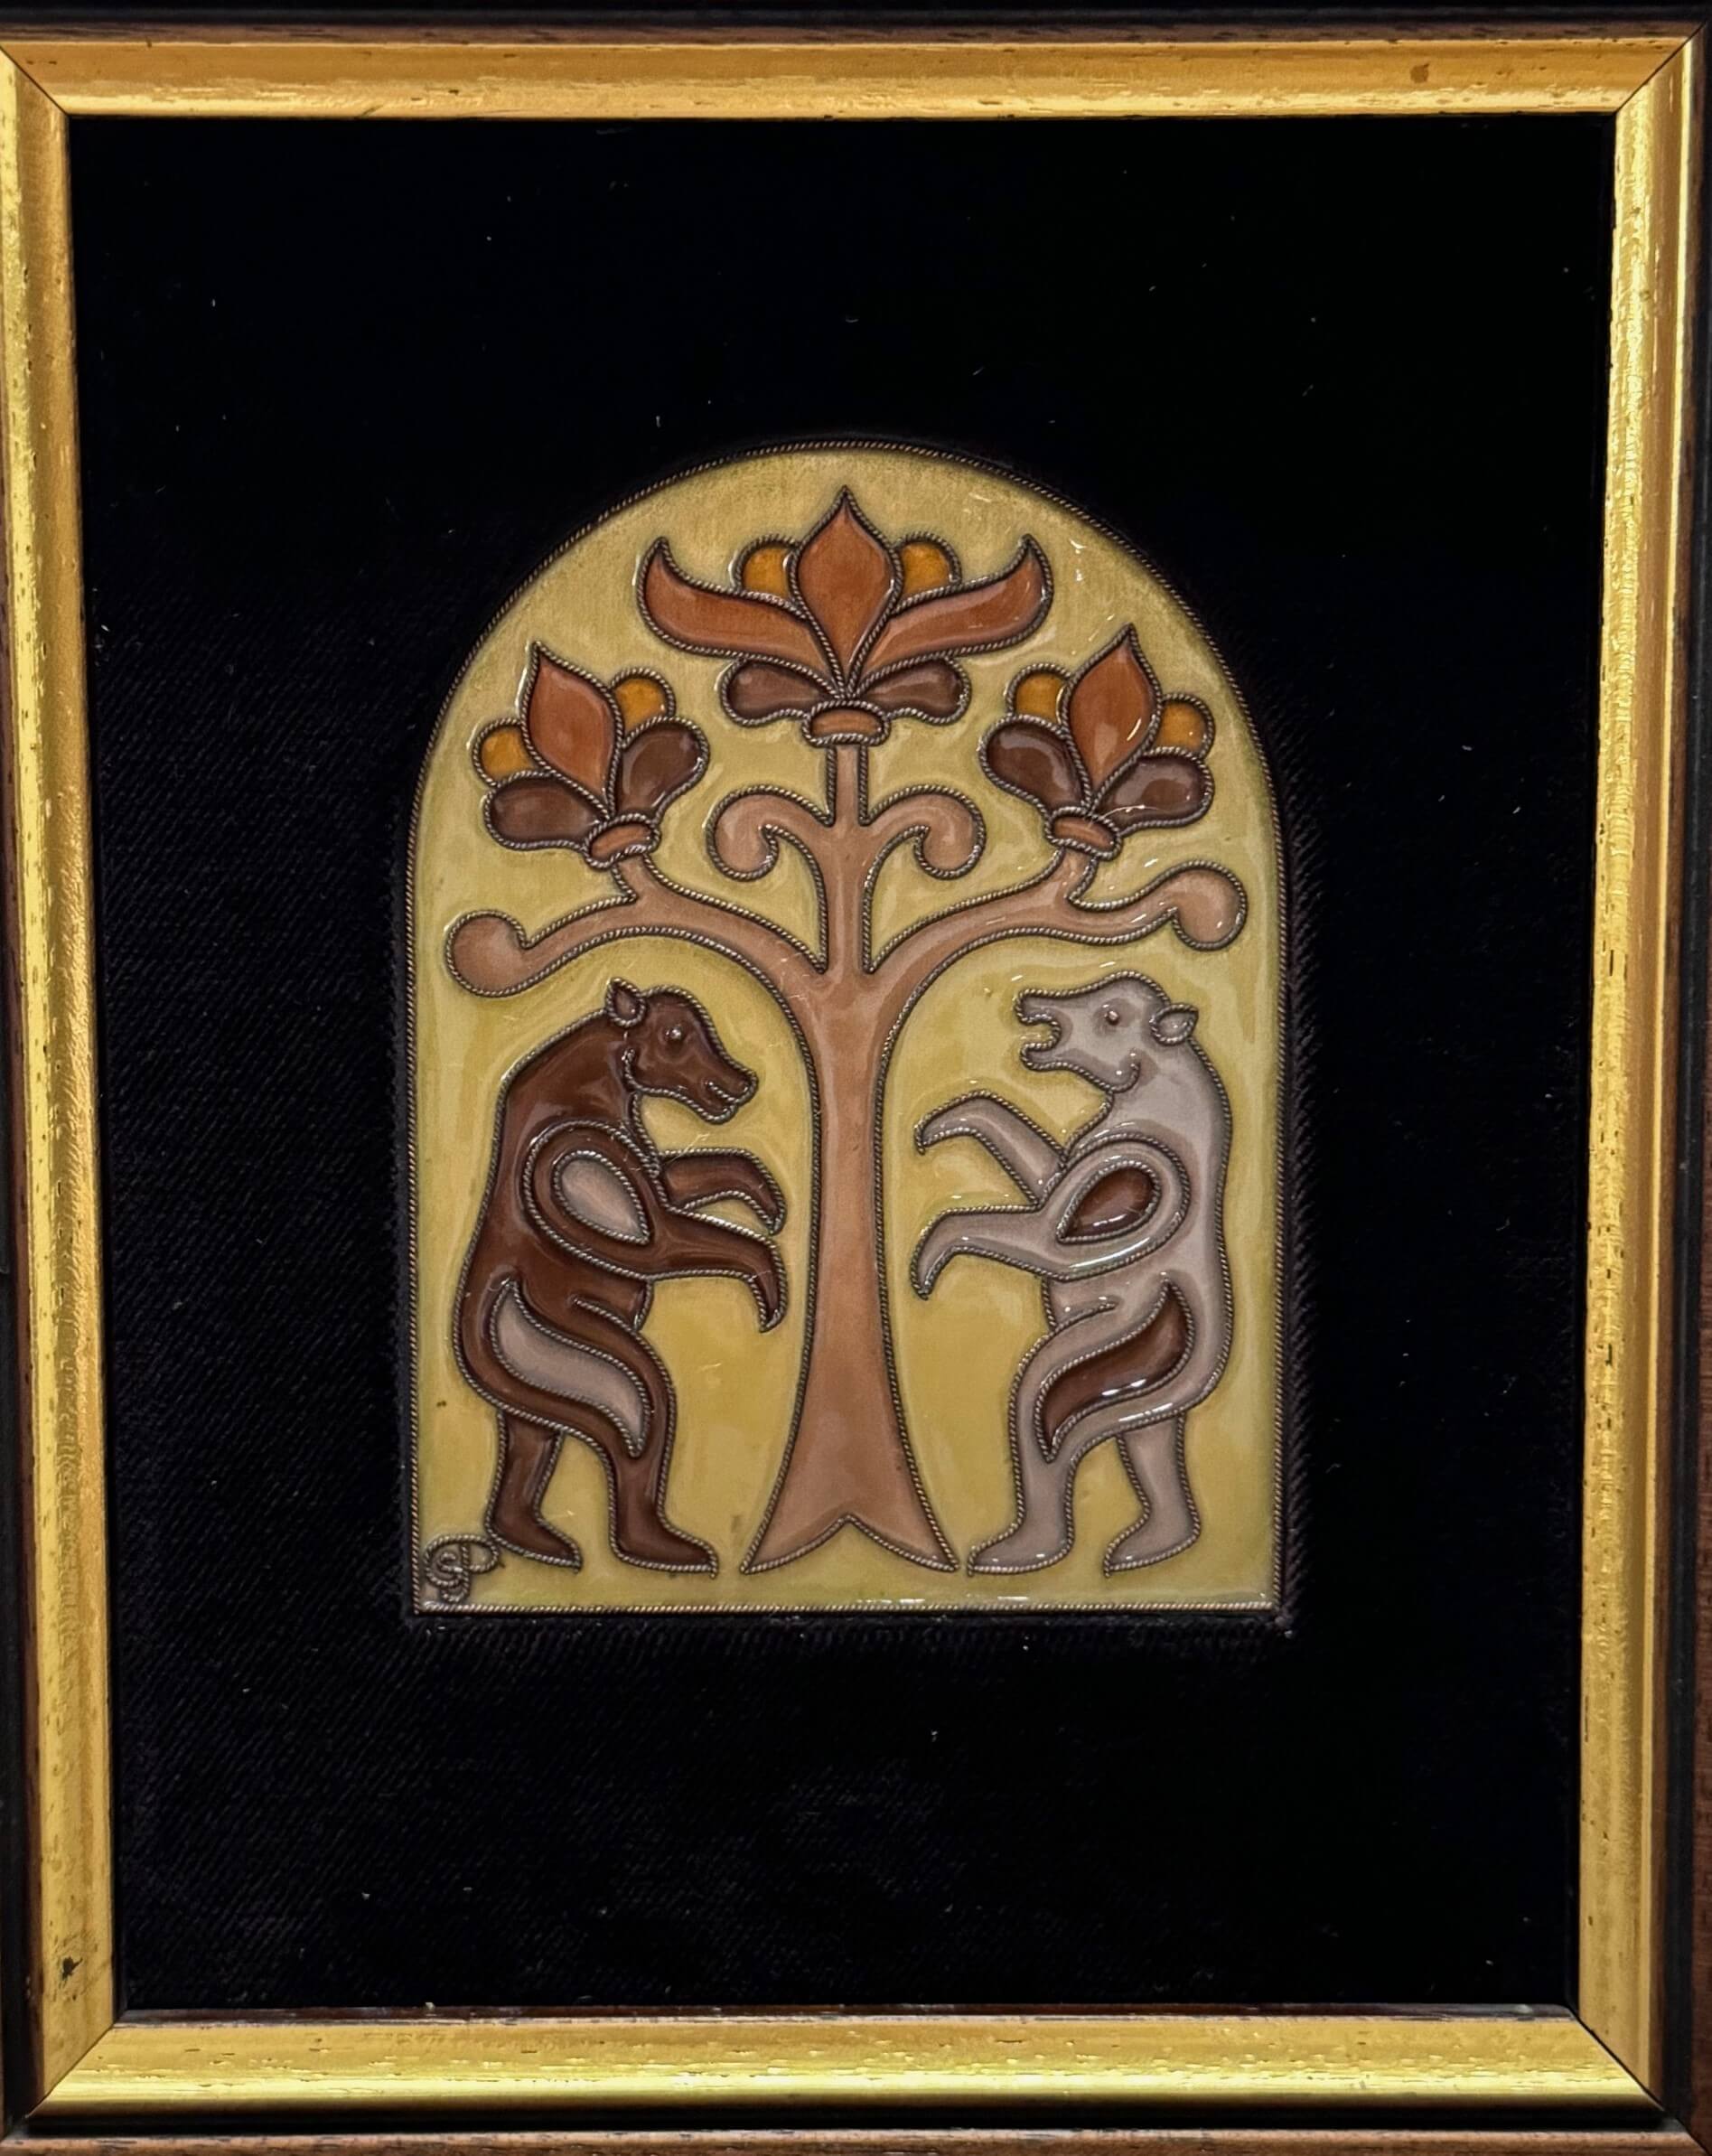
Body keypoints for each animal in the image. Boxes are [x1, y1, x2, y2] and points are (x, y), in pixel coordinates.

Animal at [455, 979, 785, 1574]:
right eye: (676, 1035)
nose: (743, 1080)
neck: (590, 1087)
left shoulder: (643, 1159)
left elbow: (700, 1172)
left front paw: (768, 1202)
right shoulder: (574, 1154)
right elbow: (661, 1240)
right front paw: (767, 1279)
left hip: (531, 1372)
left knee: (531, 1437)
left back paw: (541, 1542)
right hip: (570, 1341)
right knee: (641, 1414)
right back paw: (660, 1546)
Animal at [911, 974, 1232, 1575]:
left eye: (1111, 1016)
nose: (1032, 998)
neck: (1155, 1090)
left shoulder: (1137, 1167)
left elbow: (1043, 1236)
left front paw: (930, 1256)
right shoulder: (1077, 1162)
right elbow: (1035, 1160)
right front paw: (949, 1121)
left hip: (1105, 1347)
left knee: (1044, 1425)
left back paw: (1019, 1550)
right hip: (1150, 1384)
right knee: (1151, 1440)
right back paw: (1147, 1548)